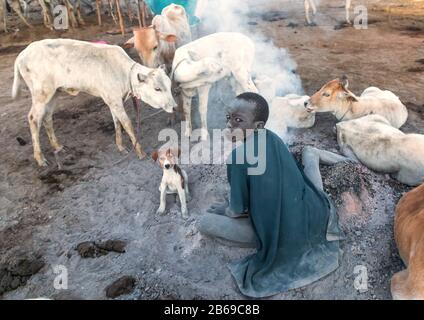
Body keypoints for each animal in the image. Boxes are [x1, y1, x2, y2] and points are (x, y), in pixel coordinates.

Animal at [12, 38, 176, 166]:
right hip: (41, 94)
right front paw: (140, 152)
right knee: (33, 119)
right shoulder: (115, 101)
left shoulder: (112, 100)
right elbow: (127, 124)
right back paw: (40, 158)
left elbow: (117, 123)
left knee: (47, 117)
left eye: (169, 85)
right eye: (157, 88)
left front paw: (120, 146)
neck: (124, 74)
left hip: (54, 93)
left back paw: (57, 146)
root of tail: (22, 54)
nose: (174, 107)